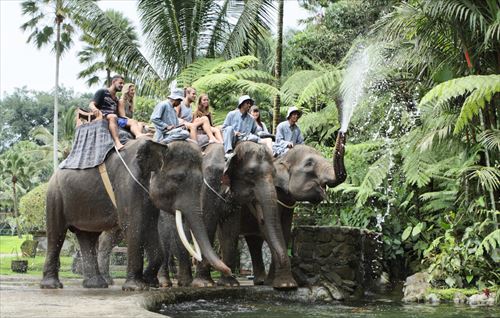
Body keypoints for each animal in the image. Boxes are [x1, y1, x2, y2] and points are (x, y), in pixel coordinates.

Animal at [40, 139, 230, 290]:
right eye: (178, 178)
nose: (229, 269)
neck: (159, 145)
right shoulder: (127, 183)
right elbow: (134, 225)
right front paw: (136, 287)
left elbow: (151, 228)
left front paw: (149, 281)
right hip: (54, 196)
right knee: (56, 234)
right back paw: (52, 286)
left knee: (88, 237)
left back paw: (96, 285)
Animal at [243, 130, 348, 284]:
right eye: (309, 164)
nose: (342, 132)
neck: (281, 158)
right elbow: (269, 229)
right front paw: (279, 283)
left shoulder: (287, 202)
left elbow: (285, 229)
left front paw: (274, 281)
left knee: (253, 240)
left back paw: (260, 281)